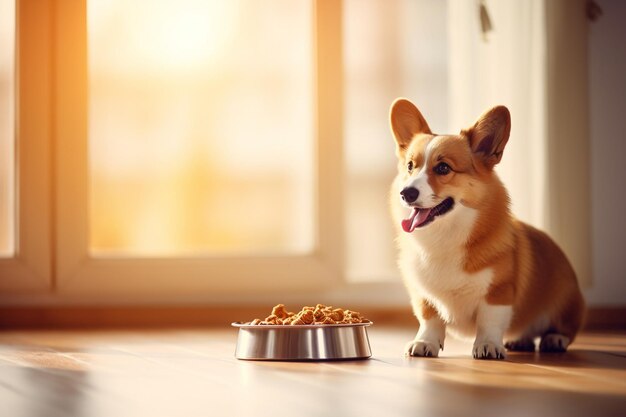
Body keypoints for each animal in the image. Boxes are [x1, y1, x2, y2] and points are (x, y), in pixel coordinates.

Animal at [388, 97, 584, 358]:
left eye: (443, 168)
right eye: (410, 166)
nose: (406, 193)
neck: (444, 236)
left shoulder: (498, 292)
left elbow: (489, 321)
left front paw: (488, 346)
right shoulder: (424, 295)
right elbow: (430, 319)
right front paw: (424, 343)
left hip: (566, 301)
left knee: (563, 328)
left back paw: (554, 339)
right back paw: (520, 340)